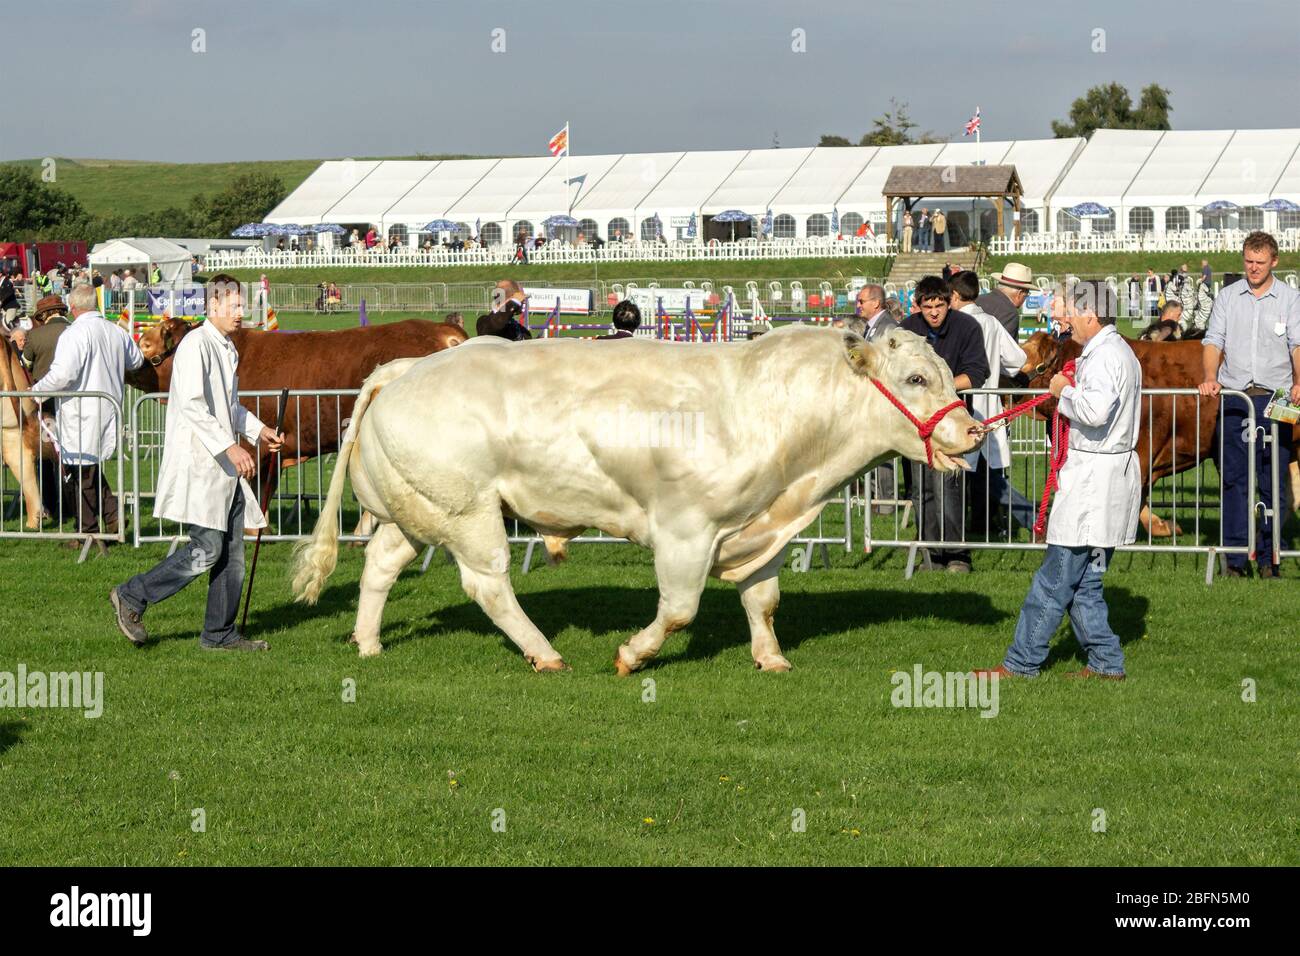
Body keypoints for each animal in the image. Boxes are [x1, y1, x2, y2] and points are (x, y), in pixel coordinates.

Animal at [291, 325, 986, 673]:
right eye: (915, 378)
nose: (974, 431)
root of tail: (402, 369)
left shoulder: (757, 527)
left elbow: (762, 600)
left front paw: (771, 657)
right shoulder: (685, 530)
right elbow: (678, 610)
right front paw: (632, 654)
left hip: (418, 511)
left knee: (380, 565)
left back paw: (368, 642)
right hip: (471, 514)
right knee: (488, 585)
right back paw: (545, 653)